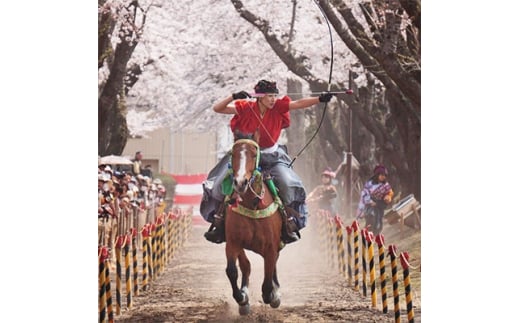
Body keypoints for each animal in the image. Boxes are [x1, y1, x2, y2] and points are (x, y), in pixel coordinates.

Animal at [222, 132, 282, 316]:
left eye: (254, 154)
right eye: (233, 154)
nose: (240, 182)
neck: (252, 204)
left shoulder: (270, 247)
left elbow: (268, 283)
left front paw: (274, 296)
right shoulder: (233, 242)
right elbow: (232, 271)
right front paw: (242, 298)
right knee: (246, 266)